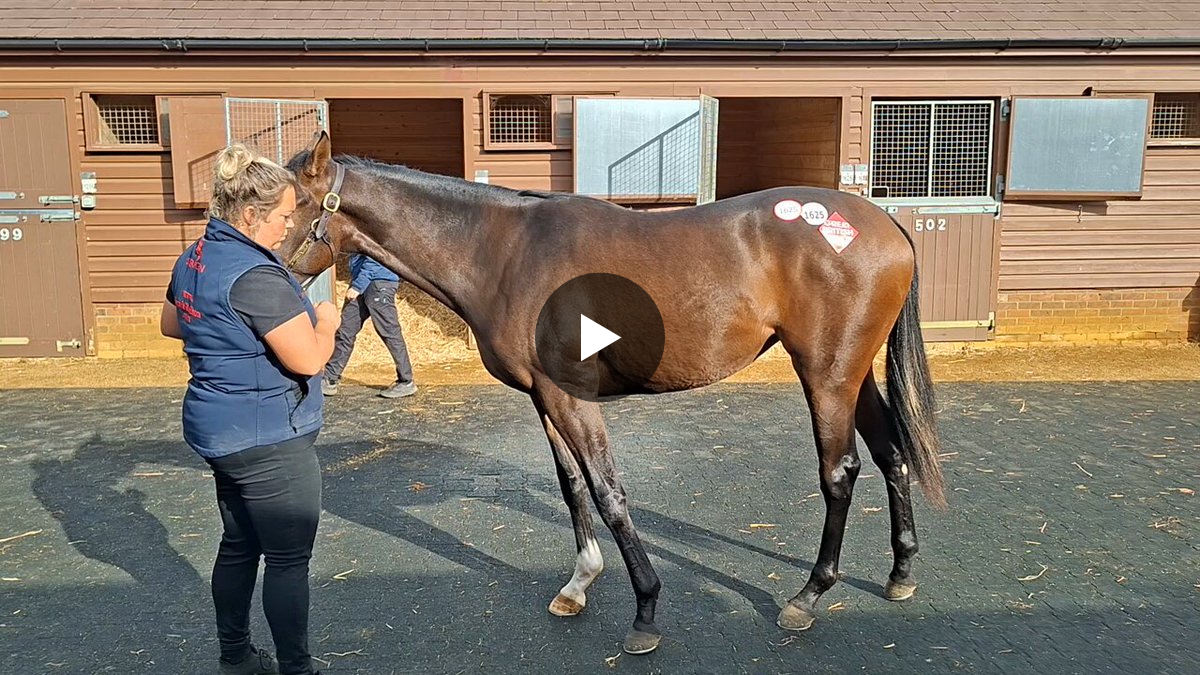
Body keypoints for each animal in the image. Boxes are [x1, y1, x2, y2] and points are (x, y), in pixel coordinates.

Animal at [279, 130, 945, 655]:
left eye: (285, 206)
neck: (505, 253)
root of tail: (885, 221)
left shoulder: (571, 397)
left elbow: (608, 492)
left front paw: (645, 610)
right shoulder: (543, 396)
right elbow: (573, 486)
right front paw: (579, 583)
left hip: (827, 373)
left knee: (841, 472)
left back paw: (808, 596)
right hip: (852, 373)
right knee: (890, 455)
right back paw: (902, 570)